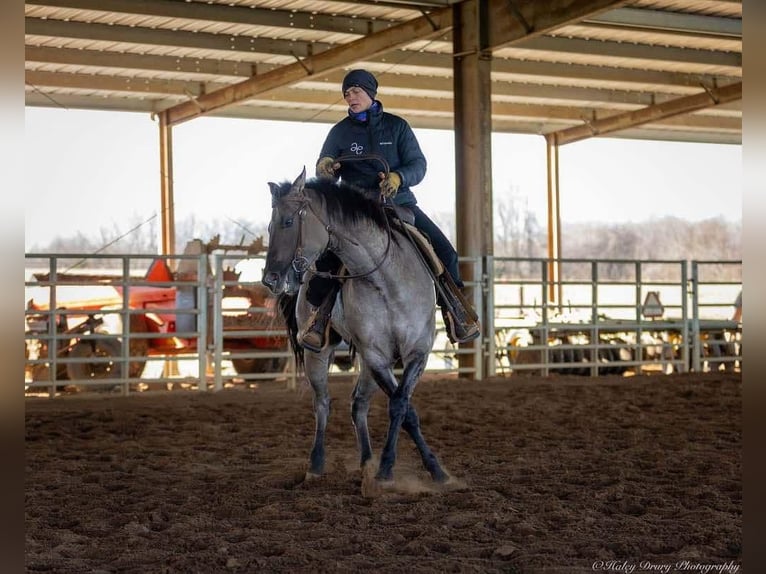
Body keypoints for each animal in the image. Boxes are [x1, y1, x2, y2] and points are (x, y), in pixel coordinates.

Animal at [264, 168, 450, 486]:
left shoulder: (416, 352)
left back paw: (366, 462)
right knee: (323, 403)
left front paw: (431, 469)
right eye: (268, 227)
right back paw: (316, 464)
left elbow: (402, 406)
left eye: (287, 222)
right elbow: (402, 407)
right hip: (319, 353)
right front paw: (388, 470)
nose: (270, 279)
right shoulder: (375, 355)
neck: (386, 279)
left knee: (359, 403)